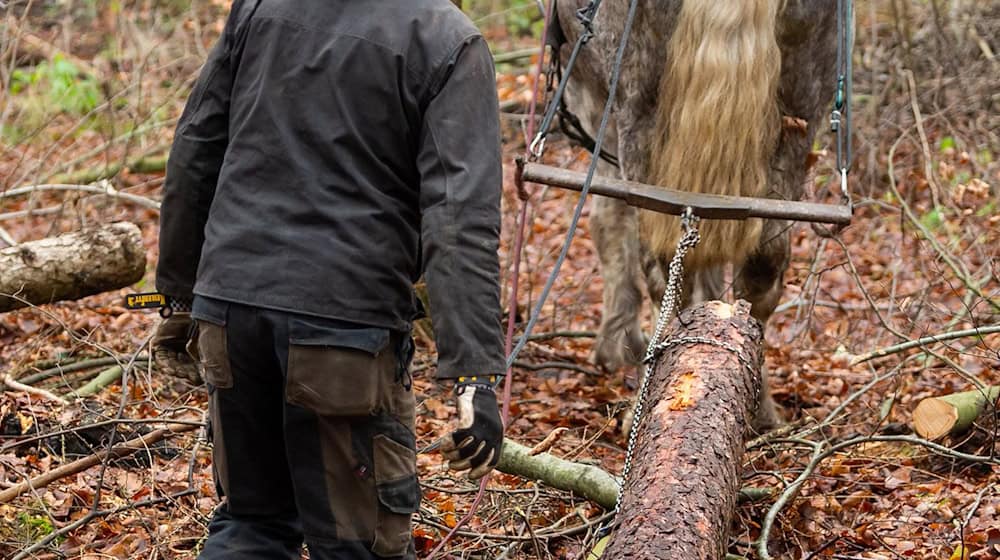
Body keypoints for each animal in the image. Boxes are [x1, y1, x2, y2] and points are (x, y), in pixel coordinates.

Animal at [560, 0, 848, 428]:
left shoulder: (594, 101)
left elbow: (607, 219)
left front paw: (617, 343)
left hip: (637, 105)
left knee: (662, 266)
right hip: (802, 99)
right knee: (762, 268)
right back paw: (758, 409)